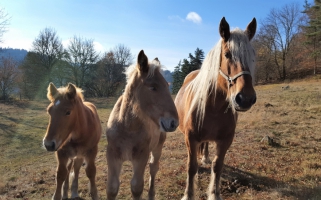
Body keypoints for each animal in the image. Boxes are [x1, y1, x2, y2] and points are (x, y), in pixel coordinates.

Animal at [106, 49, 179, 198]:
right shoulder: (112, 155)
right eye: (153, 87)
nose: (174, 122)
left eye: (167, 85)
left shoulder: (141, 156)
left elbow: (136, 187)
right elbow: (112, 188)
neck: (127, 127)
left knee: (153, 167)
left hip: (158, 147)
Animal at [174, 17, 256, 200]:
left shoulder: (225, 140)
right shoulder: (190, 138)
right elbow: (191, 167)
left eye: (253, 57)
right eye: (227, 54)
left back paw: (204, 157)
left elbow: (217, 166)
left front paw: (214, 194)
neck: (214, 106)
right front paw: (188, 194)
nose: (245, 99)